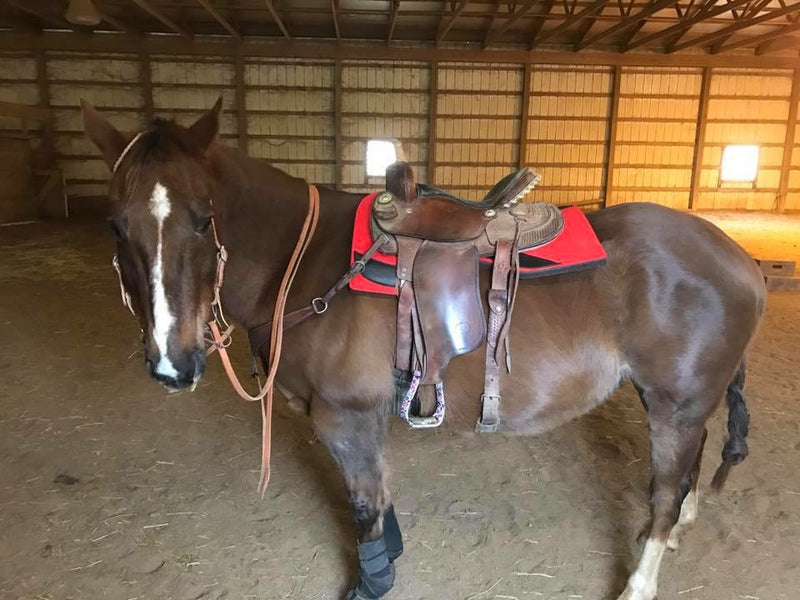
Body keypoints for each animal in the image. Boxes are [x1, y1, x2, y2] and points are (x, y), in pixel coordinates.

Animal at [83, 101, 768, 596]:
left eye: (204, 220)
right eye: (115, 224)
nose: (173, 363)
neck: (306, 265)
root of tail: (741, 260)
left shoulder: (344, 417)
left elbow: (363, 505)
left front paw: (371, 582)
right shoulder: (358, 419)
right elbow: (379, 497)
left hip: (676, 404)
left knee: (665, 490)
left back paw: (642, 579)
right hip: (677, 401)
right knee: (688, 471)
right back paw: (677, 531)